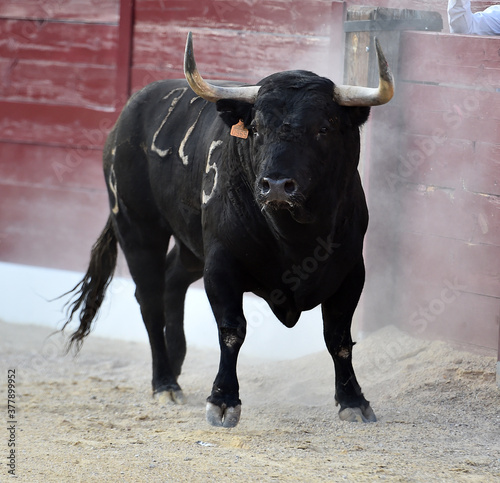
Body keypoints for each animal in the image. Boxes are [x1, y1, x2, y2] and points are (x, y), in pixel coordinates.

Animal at [62, 33, 392, 428]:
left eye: (324, 128)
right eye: (257, 128)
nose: (276, 186)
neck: (295, 236)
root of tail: (127, 116)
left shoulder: (351, 270)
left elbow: (339, 336)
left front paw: (353, 400)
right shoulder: (221, 263)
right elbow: (232, 329)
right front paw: (222, 401)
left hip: (190, 248)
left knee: (172, 282)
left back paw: (176, 362)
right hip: (137, 227)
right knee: (150, 297)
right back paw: (164, 383)